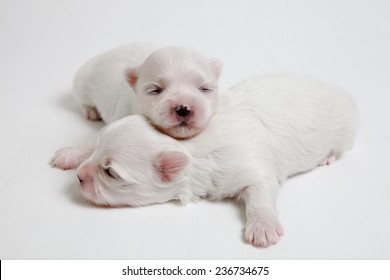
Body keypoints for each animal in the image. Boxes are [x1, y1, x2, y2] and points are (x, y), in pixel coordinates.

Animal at [51, 74, 360, 247]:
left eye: (111, 173)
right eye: (98, 158)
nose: (79, 177)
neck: (187, 145)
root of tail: (337, 89)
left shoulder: (253, 166)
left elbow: (260, 192)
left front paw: (263, 226)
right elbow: (92, 140)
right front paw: (71, 153)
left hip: (346, 132)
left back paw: (327, 156)